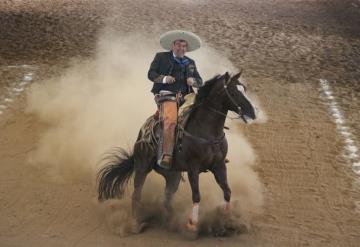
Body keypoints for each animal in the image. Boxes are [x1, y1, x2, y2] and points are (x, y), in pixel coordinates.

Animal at [97, 71, 258, 233]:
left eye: (244, 89)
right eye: (233, 91)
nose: (252, 112)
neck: (206, 131)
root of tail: (142, 132)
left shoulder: (219, 165)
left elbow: (227, 191)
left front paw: (228, 220)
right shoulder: (193, 168)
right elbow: (196, 195)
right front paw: (192, 224)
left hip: (172, 175)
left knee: (167, 198)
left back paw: (171, 222)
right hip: (142, 167)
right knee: (137, 194)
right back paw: (136, 224)